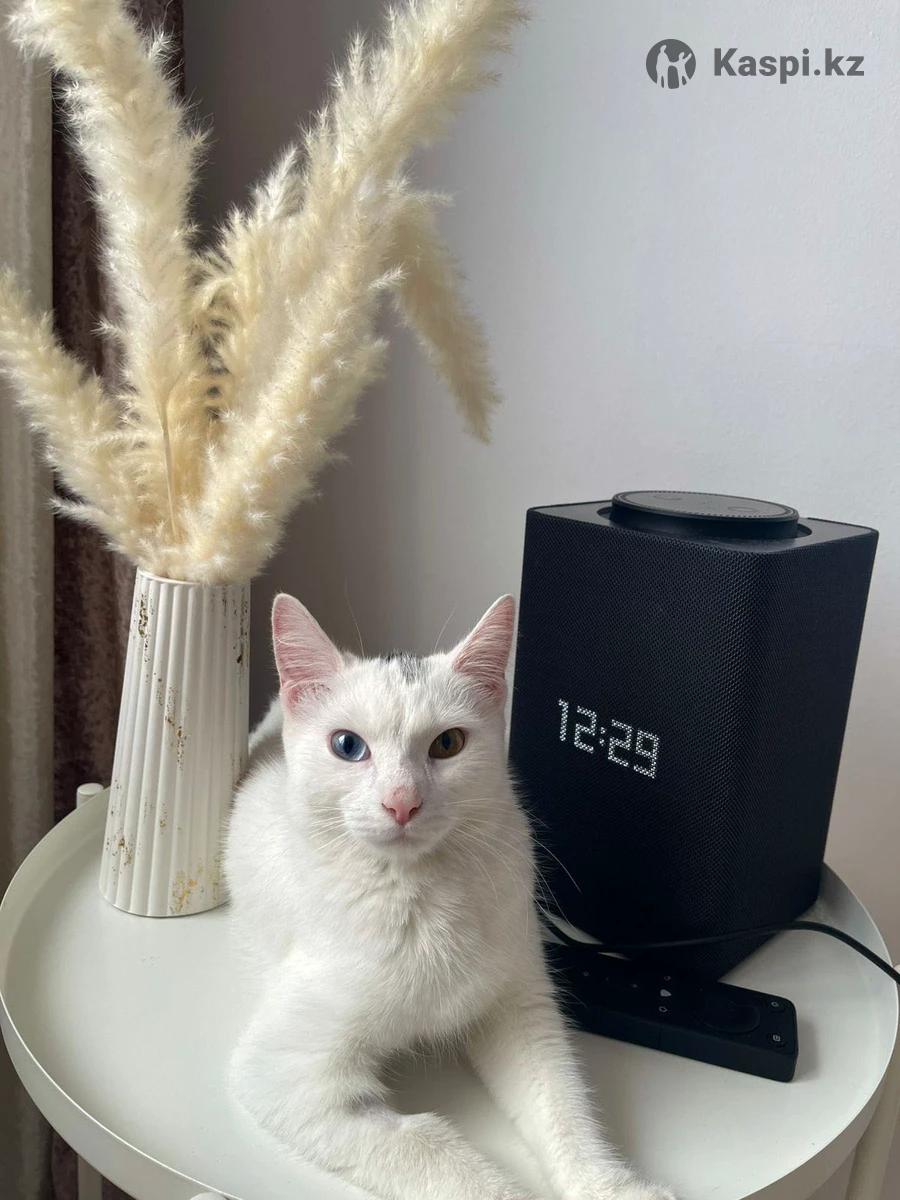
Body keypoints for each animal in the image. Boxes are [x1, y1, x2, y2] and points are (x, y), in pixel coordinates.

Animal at [225, 592, 676, 1200]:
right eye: (348, 746)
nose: (402, 802)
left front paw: (610, 1186)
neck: (418, 892)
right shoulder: (287, 1074)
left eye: (448, 744)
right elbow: (428, 1145)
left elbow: (562, 1102)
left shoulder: (520, 1008)